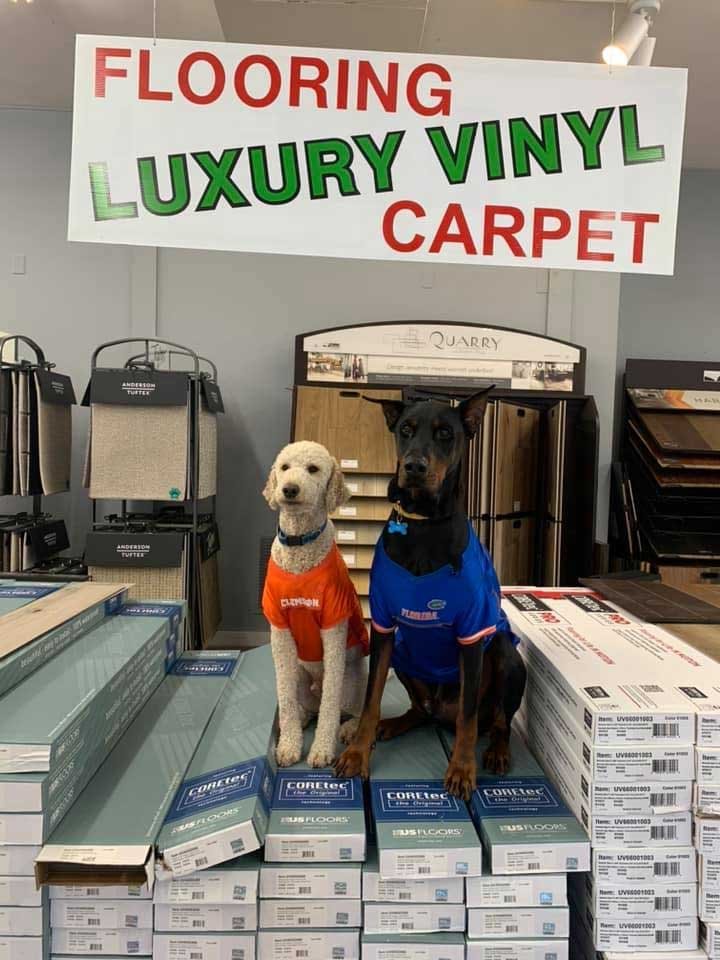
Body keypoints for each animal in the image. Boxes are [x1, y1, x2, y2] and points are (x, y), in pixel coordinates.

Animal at [262, 440, 369, 769]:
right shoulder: (279, 632)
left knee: (350, 710)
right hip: (300, 677)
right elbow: (284, 701)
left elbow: (330, 707)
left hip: (353, 681)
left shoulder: (334, 629)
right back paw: (300, 719)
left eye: (313, 469)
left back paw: (348, 729)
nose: (289, 489)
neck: (300, 545)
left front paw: (322, 749)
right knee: (303, 706)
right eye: (284, 467)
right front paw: (288, 745)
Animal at [335, 389, 526, 800]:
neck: (424, 525)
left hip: (506, 654)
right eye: (405, 429)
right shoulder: (384, 628)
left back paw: (497, 751)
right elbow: (371, 698)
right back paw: (392, 724)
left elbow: (469, 717)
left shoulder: (472, 632)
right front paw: (358, 751)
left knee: (496, 720)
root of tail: (442, 713)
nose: (414, 467)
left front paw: (462, 769)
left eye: (444, 433)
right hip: (404, 655)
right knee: (422, 710)